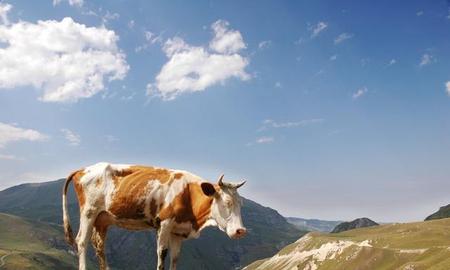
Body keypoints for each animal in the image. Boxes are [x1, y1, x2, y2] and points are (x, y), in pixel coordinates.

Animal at [62, 162, 248, 270]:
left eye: (241, 204)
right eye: (227, 202)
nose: (241, 231)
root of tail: (83, 169)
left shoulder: (178, 231)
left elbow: (175, 258)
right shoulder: (164, 223)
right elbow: (162, 253)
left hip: (102, 219)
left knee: (99, 246)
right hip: (89, 212)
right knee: (82, 241)